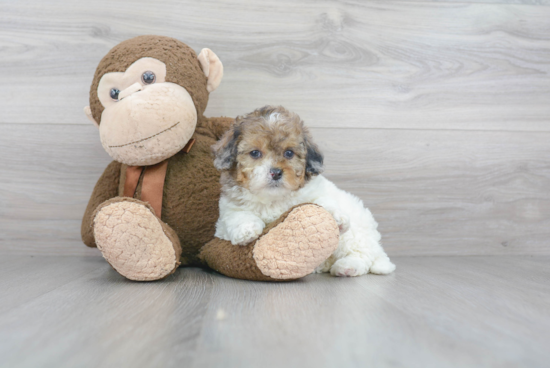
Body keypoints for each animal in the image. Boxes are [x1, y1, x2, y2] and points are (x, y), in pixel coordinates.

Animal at [211, 105, 396, 276]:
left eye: (289, 153)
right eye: (255, 153)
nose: (276, 172)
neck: (274, 198)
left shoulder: (317, 191)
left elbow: (323, 202)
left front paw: (337, 218)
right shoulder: (229, 208)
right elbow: (238, 215)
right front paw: (247, 230)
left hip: (355, 237)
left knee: (362, 255)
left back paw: (347, 266)